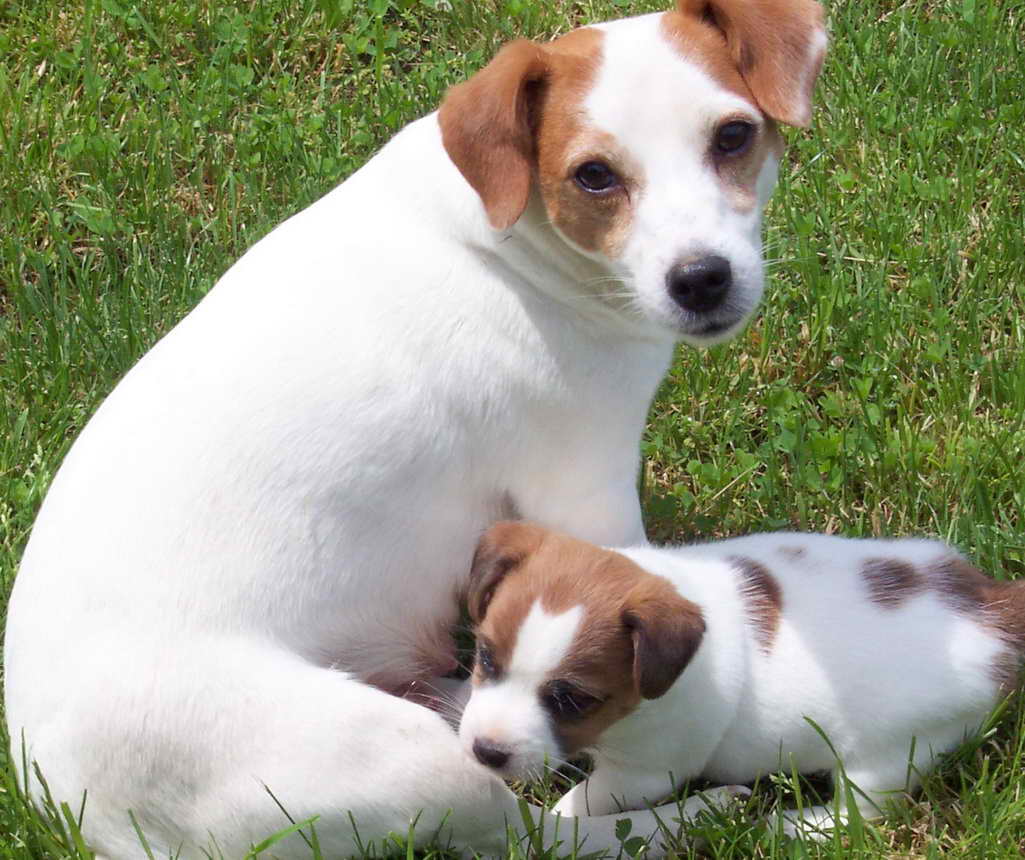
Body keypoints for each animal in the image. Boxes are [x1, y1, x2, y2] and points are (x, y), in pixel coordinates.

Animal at [2, 0, 824, 852]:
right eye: (593, 175)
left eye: (733, 135)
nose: (701, 280)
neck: (504, 239)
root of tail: (84, 815)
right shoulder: (584, 486)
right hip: (405, 755)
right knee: (545, 836)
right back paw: (697, 812)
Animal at [465, 524, 1025, 832]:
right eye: (486, 658)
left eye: (573, 700)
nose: (484, 753)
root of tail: (993, 613)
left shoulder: (644, 773)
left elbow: (579, 805)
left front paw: (557, 815)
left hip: (890, 753)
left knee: (860, 813)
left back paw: (791, 826)